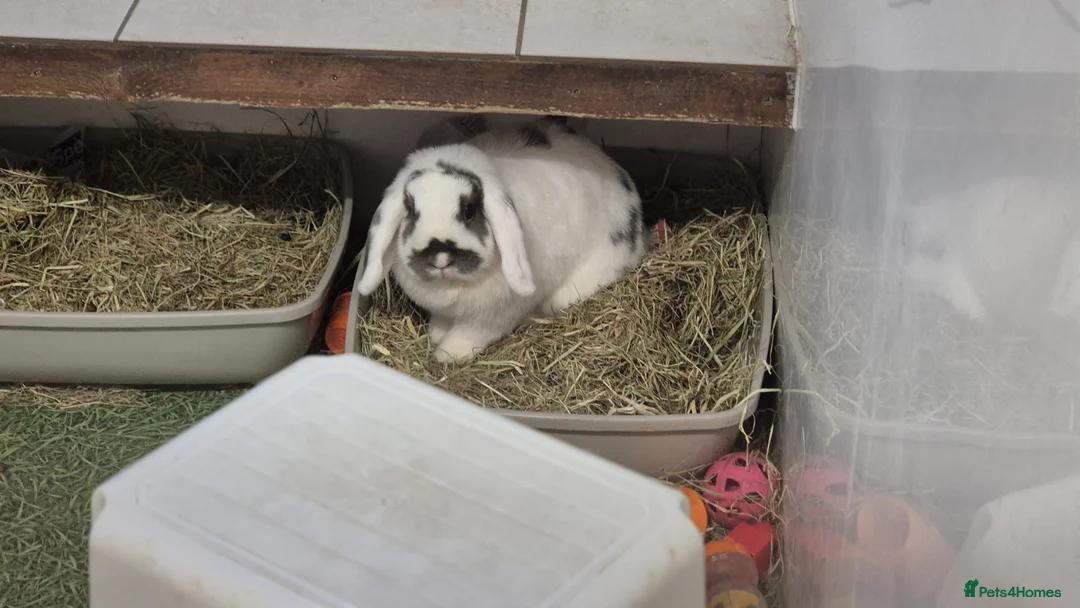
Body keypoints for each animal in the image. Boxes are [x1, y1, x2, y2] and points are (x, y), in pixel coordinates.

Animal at [356, 119, 647, 364]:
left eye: (469, 210)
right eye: (411, 211)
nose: (440, 257)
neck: (453, 286)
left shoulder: (492, 318)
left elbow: (468, 335)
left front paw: (446, 355)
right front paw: (436, 335)